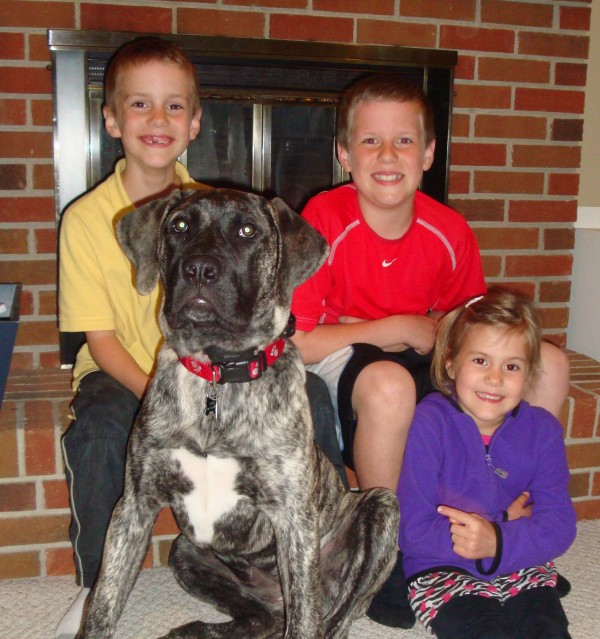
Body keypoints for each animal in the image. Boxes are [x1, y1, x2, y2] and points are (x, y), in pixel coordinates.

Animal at [77, 188, 400, 636]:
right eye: (179, 225)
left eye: (248, 231)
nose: (198, 270)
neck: (218, 378)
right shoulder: (135, 505)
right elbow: (105, 598)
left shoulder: (294, 521)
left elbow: (304, 620)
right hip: (185, 550)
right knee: (261, 617)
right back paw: (197, 629)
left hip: (380, 507)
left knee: (331, 616)